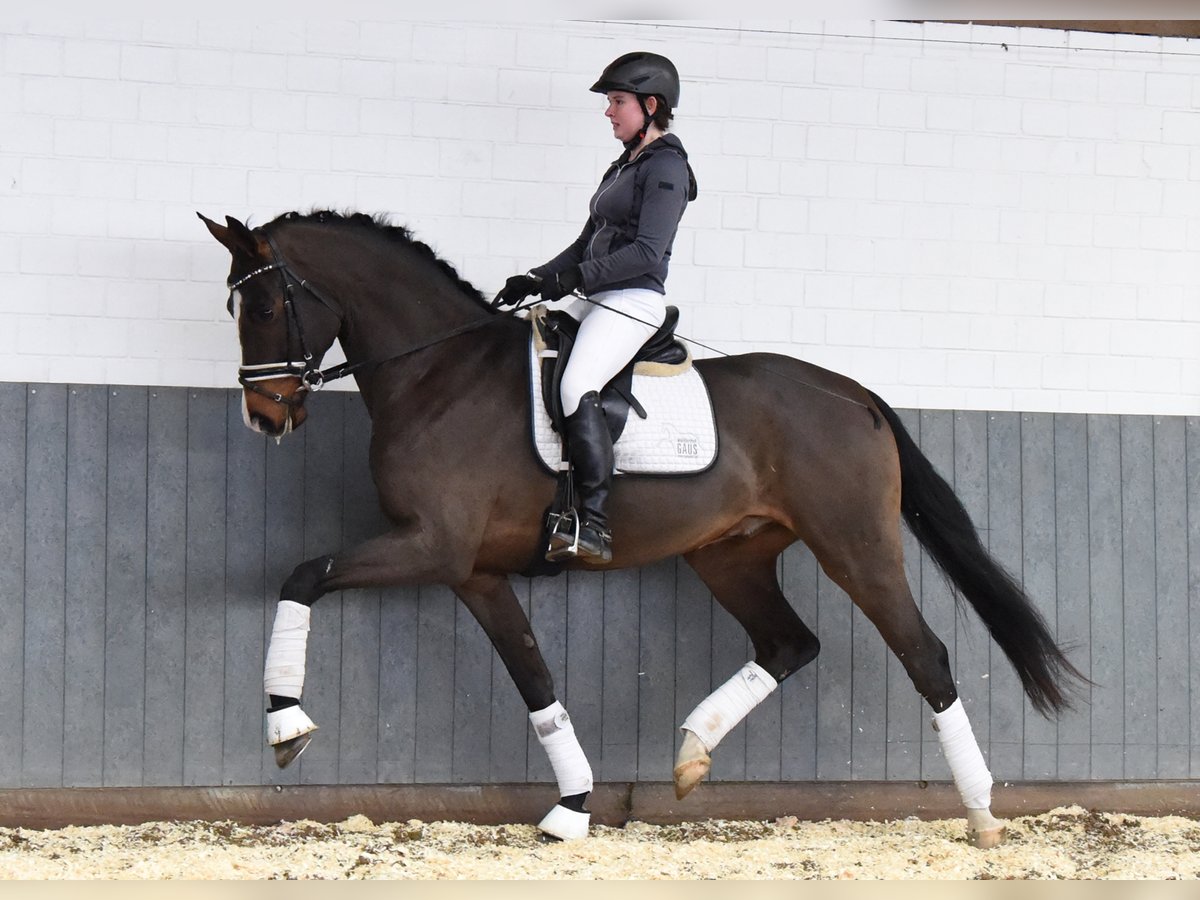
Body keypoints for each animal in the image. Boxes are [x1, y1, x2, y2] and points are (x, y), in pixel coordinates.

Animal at [201, 207, 1084, 849]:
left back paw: (982, 817)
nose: (264, 416)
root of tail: (850, 392)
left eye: (268, 303)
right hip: (730, 557)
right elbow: (534, 679)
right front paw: (572, 807)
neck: (438, 373)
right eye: (235, 304)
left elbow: (303, 574)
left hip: (855, 546)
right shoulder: (473, 570)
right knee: (789, 644)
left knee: (924, 655)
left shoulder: (432, 545)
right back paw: (691, 755)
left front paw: (286, 723)